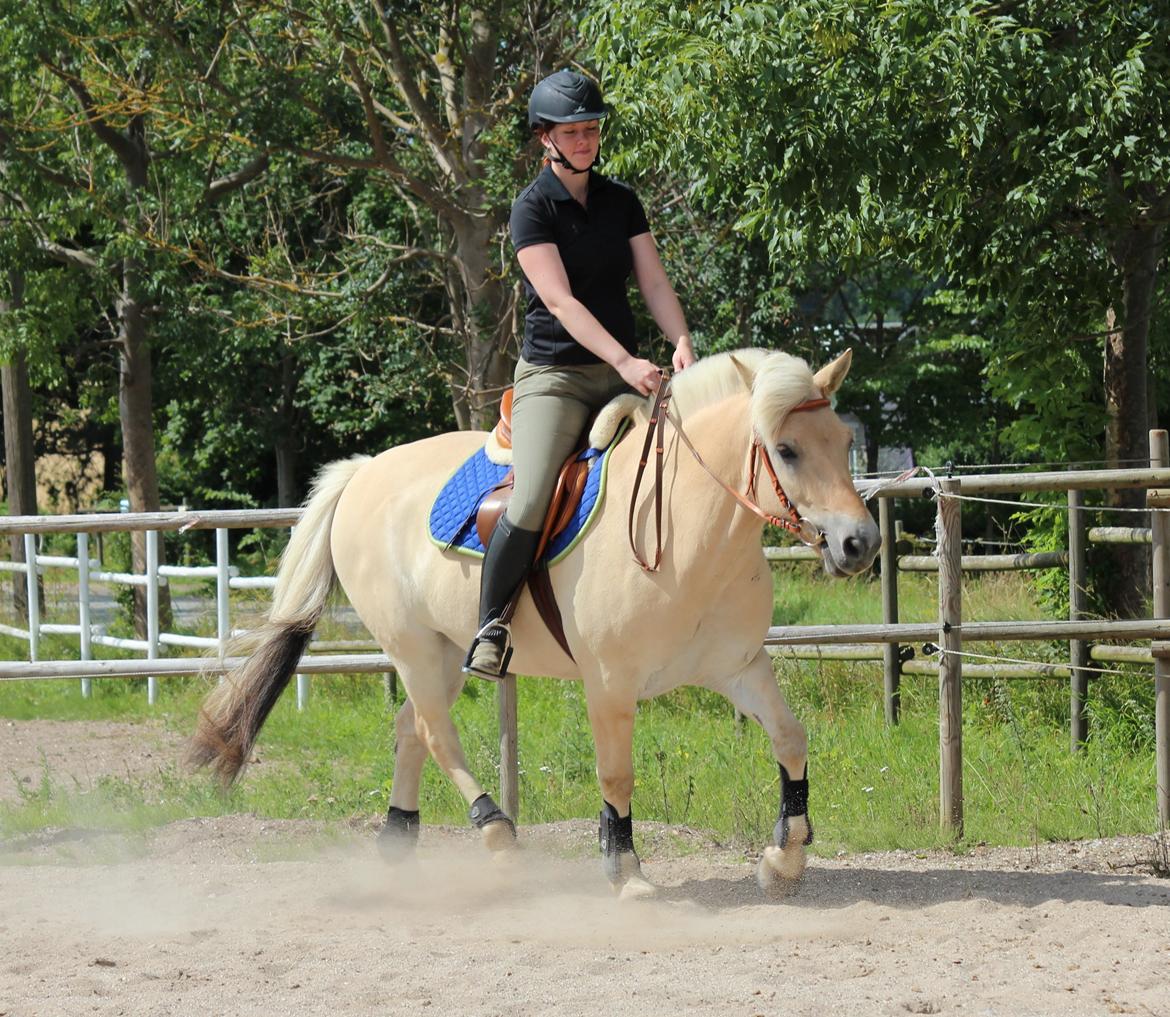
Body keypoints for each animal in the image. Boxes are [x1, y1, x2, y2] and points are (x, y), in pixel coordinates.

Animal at [189, 348, 879, 898]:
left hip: (444, 651)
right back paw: (497, 836)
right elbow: (616, 773)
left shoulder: (738, 666)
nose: (859, 543)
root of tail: (364, 471)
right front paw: (626, 871)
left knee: (410, 729)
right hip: (412, 648)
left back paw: (398, 839)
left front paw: (784, 858)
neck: (684, 528)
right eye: (786, 450)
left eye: (845, 443)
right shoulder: (610, 685)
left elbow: (790, 738)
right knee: (436, 735)